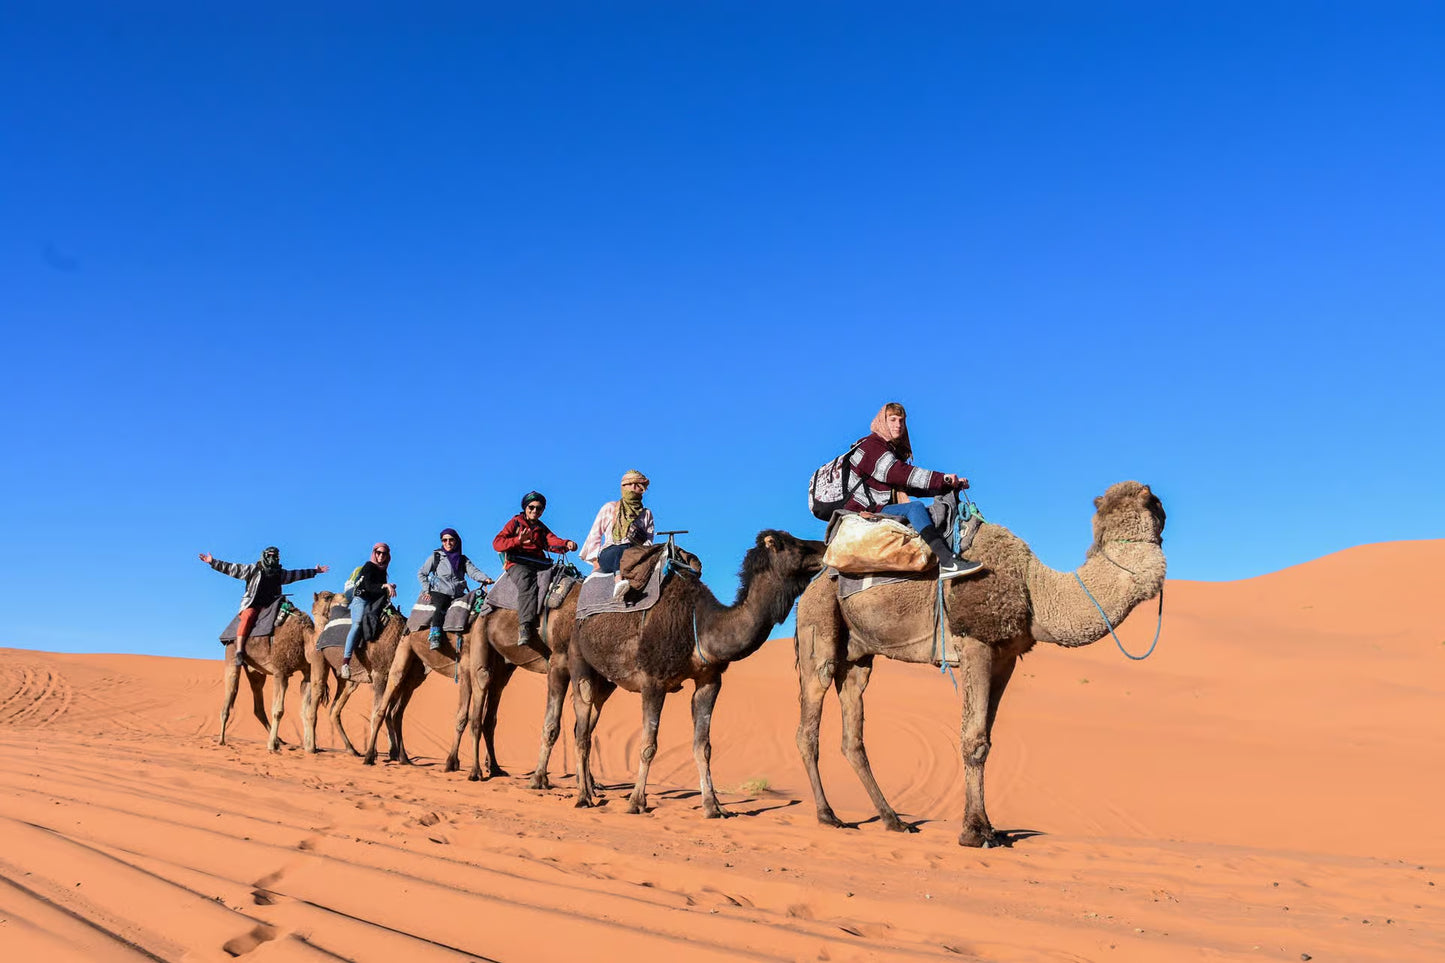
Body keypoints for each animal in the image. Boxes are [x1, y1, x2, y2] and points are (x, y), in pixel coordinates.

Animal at [217, 605, 316, 753]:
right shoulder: (280, 672)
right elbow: (278, 710)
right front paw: (271, 747)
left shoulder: (307, 672)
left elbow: (305, 709)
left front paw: (310, 747)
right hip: (231, 655)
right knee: (229, 694)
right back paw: (221, 740)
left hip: (256, 671)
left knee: (258, 705)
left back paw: (279, 741)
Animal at [304, 592, 424, 760]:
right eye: (326, 597)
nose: (343, 597)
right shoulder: (380, 674)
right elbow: (379, 712)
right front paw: (374, 753)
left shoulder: (400, 682)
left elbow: (390, 713)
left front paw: (394, 754)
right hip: (319, 659)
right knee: (316, 697)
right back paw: (311, 748)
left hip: (348, 679)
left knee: (334, 709)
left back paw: (352, 750)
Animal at [445, 583, 581, 785]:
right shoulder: (559, 662)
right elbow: (553, 726)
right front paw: (539, 778)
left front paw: (590, 783)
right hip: (480, 639)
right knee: (479, 699)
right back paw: (474, 771)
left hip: (503, 665)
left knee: (491, 710)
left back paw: (495, 768)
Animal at [569, 530, 827, 817]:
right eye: (792, 545)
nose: (824, 547)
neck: (698, 626)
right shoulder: (653, 681)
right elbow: (648, 746)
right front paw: (636, 802)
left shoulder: (709, 680)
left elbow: (703, 747)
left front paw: (713, 806)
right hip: (579, 660)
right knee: (582, 728)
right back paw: (583, 797)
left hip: (606, 680)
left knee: (586, 726)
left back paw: (590, 789)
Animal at [794, 480, 1166, 847]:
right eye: (1154, 500)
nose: (1163, 504)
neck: (1033, 591)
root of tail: (813, 583)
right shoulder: (975, 642)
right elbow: (972, 739)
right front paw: (974, 832)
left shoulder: (1004, 656)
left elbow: (986, 739)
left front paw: (991, 830)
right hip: (819, 624)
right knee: (809, 724)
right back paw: (829, 816)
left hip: (858, 657)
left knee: (852, 735)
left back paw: (893, 820)